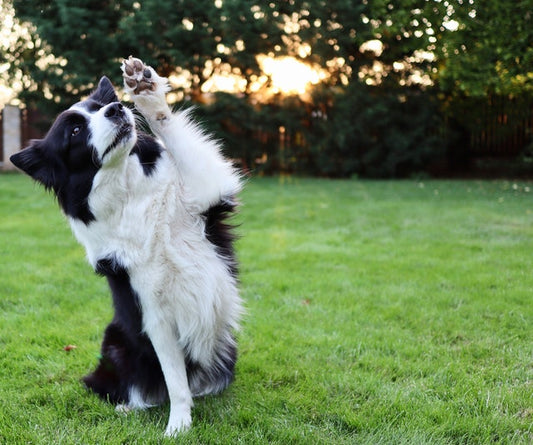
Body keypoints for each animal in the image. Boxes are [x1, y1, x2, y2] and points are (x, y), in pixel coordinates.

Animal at [10, 57, 243, 436]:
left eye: (99, 107)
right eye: (75, 131)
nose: (117, 108)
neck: (131, 193)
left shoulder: (206, 194)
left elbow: (170, 130)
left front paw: (146, 92)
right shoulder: (154, 313)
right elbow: (175, 381)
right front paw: (178, 427)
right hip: (115, 340)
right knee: (129, 387)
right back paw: (128, 407)